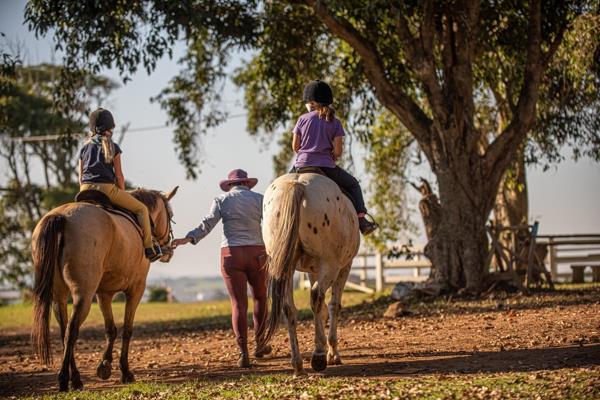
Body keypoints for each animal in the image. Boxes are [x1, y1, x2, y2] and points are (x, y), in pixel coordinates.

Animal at [31, 187, 176, 390]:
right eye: (170, 215)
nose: (168, 250)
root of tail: (62, 216)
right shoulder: (136, 289)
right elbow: (127, 330)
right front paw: (125, 372)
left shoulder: (103, 293)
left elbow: (110, 329)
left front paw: (104, 366)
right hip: (84, 293)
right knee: (72, 330)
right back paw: (67, 380)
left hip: (58, 295)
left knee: (64, 331)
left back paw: (74, 377)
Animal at [258, 173, 360, 376]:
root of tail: (297, 184)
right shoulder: (344, 267)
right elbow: (333, 306)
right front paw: (333, 353)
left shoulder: (314, 270)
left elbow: (321, 310)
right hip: (330, 265)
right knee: (316, 297)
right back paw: (319, 356)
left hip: (285, 267)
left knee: (289, 307)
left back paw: (298, 364)